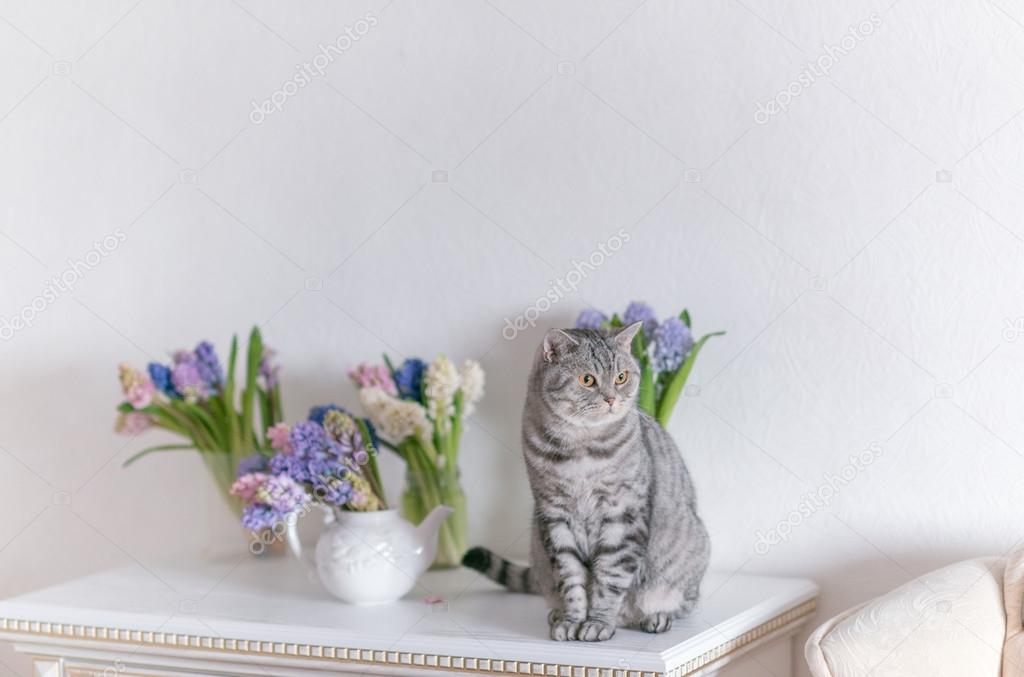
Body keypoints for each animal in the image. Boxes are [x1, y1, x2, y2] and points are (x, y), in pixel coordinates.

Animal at [466, 325, 712, 643]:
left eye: (621, 377)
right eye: (587, 380)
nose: (611, 399)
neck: (580, 447)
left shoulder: (622, 514)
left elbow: (610, 578)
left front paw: (597, 622)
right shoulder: (554, 516)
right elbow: (570, 579)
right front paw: (571, 619)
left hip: (690, 554)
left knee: (677, 603)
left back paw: (654, 616)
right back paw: (556, 613)